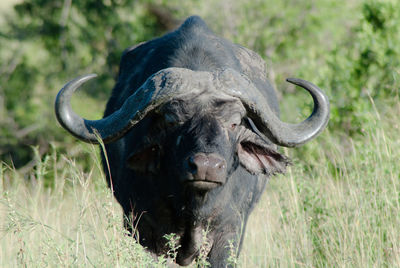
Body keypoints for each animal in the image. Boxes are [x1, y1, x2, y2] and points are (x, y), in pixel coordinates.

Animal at [55, 16, 328, 266]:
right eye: (171, 119)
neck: (194, 207)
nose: (206, 167)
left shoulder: (229, 233)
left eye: (235, 122)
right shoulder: (146, 231)